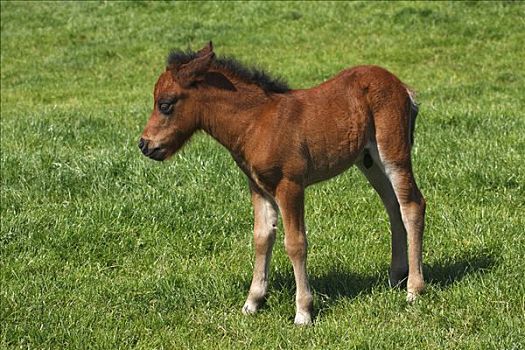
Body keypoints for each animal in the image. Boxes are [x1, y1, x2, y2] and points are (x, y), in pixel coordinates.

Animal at [139, 43, 426, 326]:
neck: (256, 122)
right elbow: (262, 237)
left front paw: (303, 311)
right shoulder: (258, 187)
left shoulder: (290, 185)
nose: (144, 144)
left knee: (412, 205)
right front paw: (252, 302)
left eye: (165, 104)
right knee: (393, 207)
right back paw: (395, 276)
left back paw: (413, 289)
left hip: (393, 152)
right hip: (368, 161)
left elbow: (295, 243)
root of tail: (403, 87)